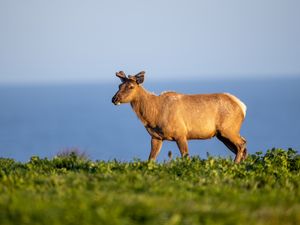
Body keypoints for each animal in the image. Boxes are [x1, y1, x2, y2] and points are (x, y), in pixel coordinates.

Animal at [111, 71, 247, 163]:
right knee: (241, 146)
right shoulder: (156, 137)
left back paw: (235, 165)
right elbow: (151, 159)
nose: (114, 99)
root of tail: (242, 106)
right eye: (119, 86)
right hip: (222, 134)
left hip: (228, 129)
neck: (153, 116)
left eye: (131, 87)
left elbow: (186, 156)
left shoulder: (181, 133)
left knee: (242, 144)